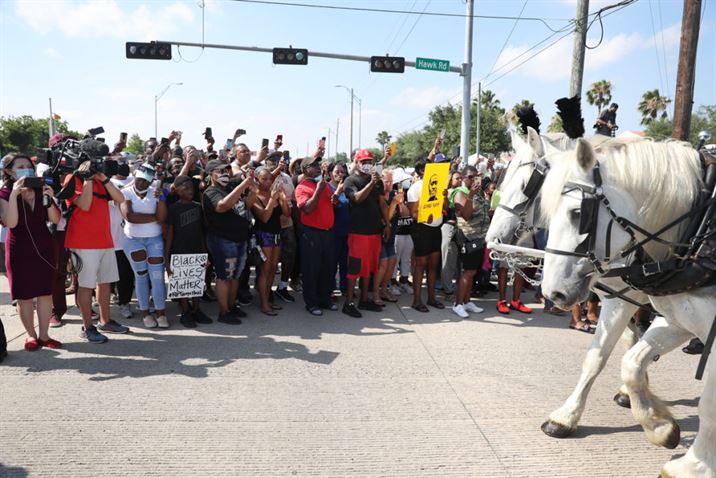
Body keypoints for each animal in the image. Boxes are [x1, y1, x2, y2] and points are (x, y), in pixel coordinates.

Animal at [486, 127, 648, 436]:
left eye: (525, 184)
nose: (493, 238)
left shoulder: (630, 299)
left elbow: (605, 354)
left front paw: (565, 417)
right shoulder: (622, 298)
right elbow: (630, 342)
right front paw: (632, 392)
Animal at [544, 136, 716, 476]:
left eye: (577, 213)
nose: (552, 292)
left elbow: (709, 406)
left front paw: (693, 464)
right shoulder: (676, 318)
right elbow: (626, 362)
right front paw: (660, 426)